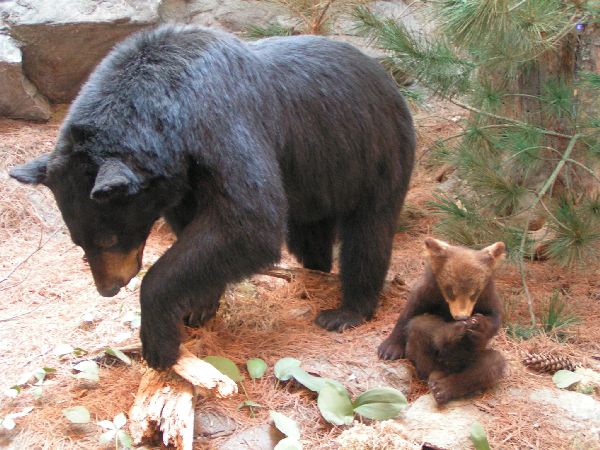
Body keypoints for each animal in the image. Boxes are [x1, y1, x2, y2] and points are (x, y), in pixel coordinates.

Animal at [9, 25, 414, 370]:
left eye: (107, 238)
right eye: (79, 242)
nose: (108, 288)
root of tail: (387, 78)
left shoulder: (223, 122)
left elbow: (249, 221)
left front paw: (158, 343)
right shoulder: (184, 181)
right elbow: (203, 238)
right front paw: (198, 308)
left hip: (375, 155)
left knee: (368, 234)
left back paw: (345, 311)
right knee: (309, 234)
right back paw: (315, 267)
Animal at [380, 237, 506, 406]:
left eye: (474, 293)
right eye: (450, 290)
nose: (461, 317)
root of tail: (441, 371)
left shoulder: (488, 295)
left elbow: (494, 318)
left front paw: (478, 325)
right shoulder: (427, 291)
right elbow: (410, 314)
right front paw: (388, 350)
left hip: (468, 361)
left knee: (491, 364)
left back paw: (443, 389)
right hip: (426, 361)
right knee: (420, 328)